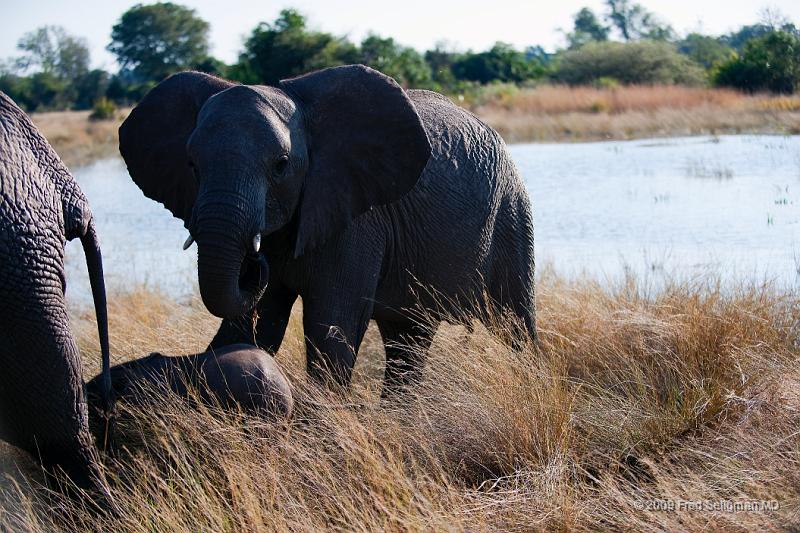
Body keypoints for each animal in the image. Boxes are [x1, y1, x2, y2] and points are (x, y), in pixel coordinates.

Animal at [117, 65, 532, 390]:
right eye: (191, 165)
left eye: (281, 165)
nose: (254, 262)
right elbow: (252, 330)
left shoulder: (357, 218)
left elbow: (330, 328)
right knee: (407, 338)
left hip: (512, 213)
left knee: (514, 323)